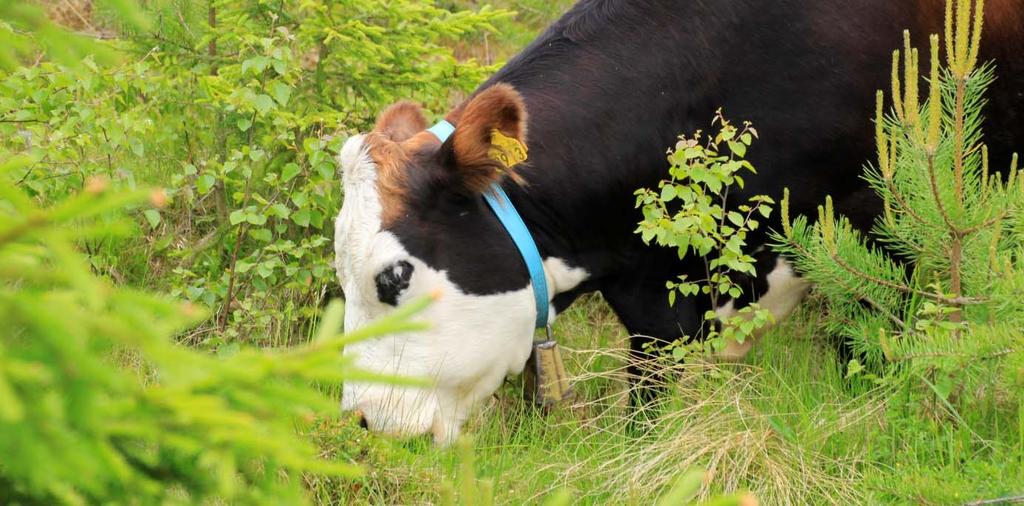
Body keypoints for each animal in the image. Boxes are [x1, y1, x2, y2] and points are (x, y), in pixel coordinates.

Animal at [331, 0, 1019, 442]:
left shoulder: (873, 220)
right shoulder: (649, 291)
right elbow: (647, 394)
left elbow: (870, 346)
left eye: (394, 277)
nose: (361, 419)